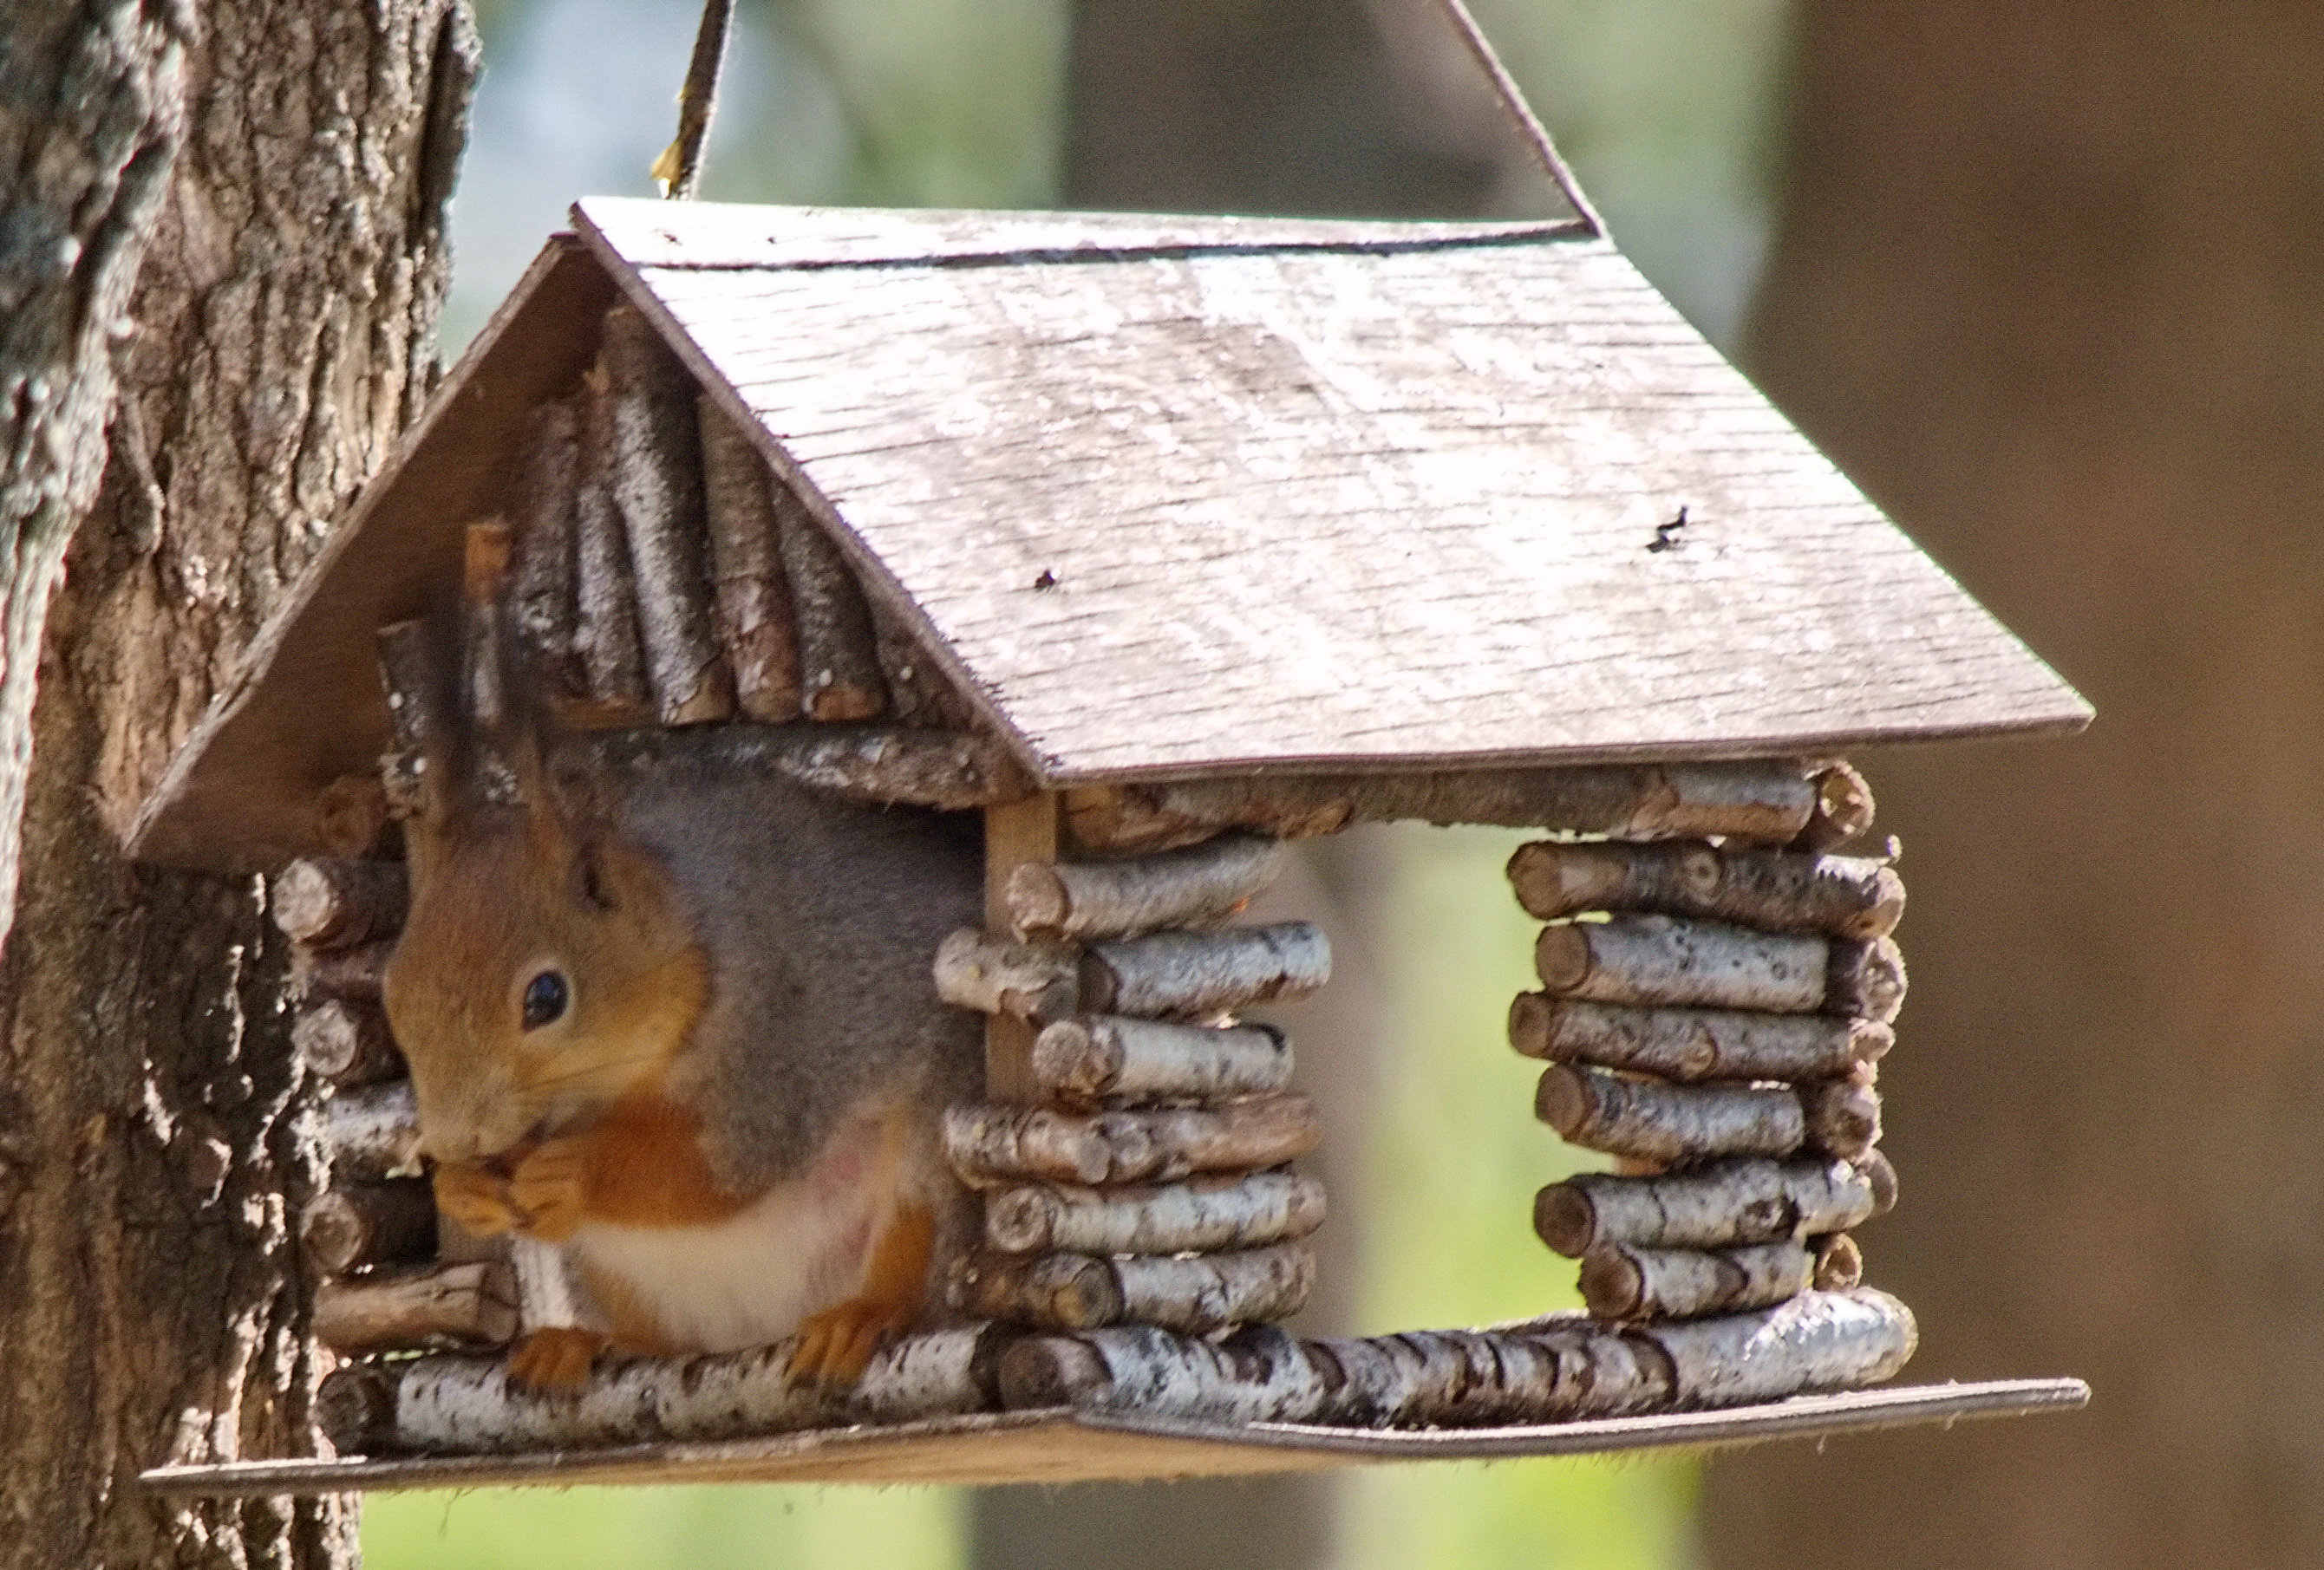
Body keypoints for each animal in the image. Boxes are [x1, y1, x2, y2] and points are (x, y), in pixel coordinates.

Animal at [385, 706, 985, 1384]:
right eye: (392, 993)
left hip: (934, 1152)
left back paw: (864, 1315)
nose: (456, 1140)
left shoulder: (777, 1036)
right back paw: (586, 1343)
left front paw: (575, 1172)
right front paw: (463, 1188)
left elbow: (721, 1172)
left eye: (546, 997)